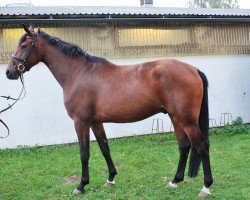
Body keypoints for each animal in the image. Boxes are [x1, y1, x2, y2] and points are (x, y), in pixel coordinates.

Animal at [5, 24, 213, 198]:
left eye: (24, 45)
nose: (9, 72)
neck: (78, 73)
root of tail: (193, 69)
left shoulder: (81, 122)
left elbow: (84, 153)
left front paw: (81, 185)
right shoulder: (96, 122)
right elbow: (105, 148)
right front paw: (110, 178)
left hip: (186, 120)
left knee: (202, 146)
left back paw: (205, 187)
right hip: (176, 117)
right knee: (184, 146)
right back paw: (174, 181)